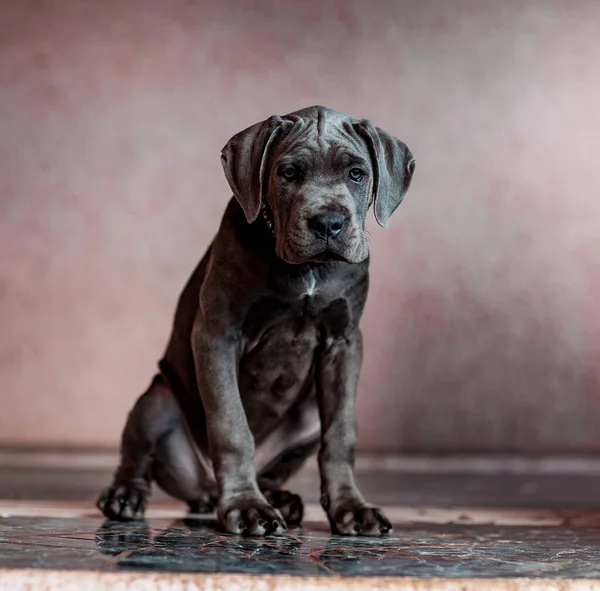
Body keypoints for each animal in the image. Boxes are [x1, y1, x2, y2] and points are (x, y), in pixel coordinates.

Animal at [99, 105, 418, 536]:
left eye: (357, 173)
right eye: (288, 173)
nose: (328, 223)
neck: (307, 270)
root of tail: (205, 490)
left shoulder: (344, 342)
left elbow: (341, 434)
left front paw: (352, 508)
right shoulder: (218, 335)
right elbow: (232, 426)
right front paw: (246, 506)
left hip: (308, 417)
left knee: (279, 466)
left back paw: (279, 498)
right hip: (158, 400)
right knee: (138, 456)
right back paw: (125, 497)